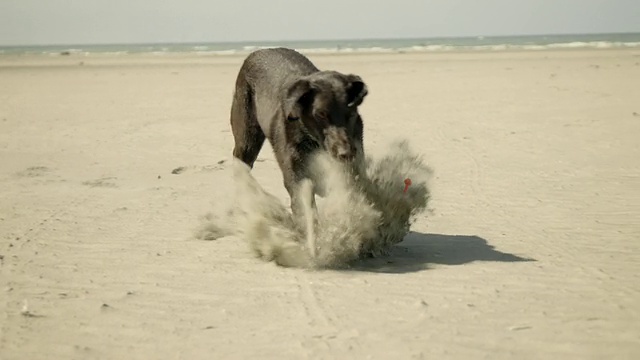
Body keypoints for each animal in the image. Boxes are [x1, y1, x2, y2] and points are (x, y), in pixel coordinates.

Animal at [230, 47, 370, 217]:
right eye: (321, 114)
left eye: (350, 112)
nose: (346, 154)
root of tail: (258, 51)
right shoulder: (297, 179)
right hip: (247, 140)